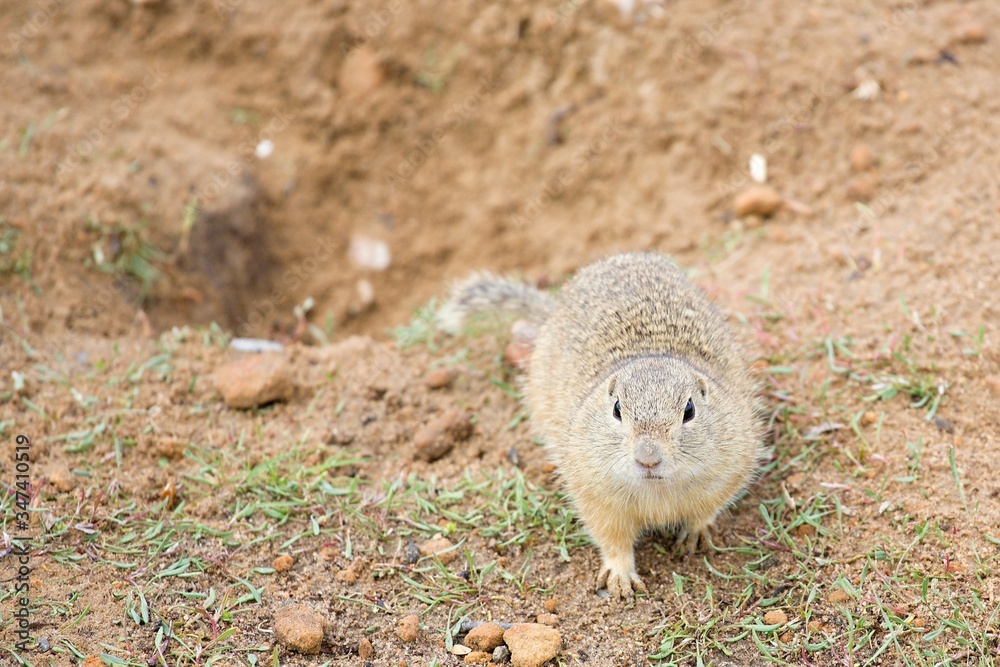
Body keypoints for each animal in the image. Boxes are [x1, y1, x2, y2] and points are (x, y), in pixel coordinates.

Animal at [438, 252, 762, 599]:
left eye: (689, 410)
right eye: (617, 409)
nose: (648, 459)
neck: (656, 490)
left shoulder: (729, 468)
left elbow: (706, 511)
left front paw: (694, 535)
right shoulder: (594, 492)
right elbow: (611, 538)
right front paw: (620, 579)